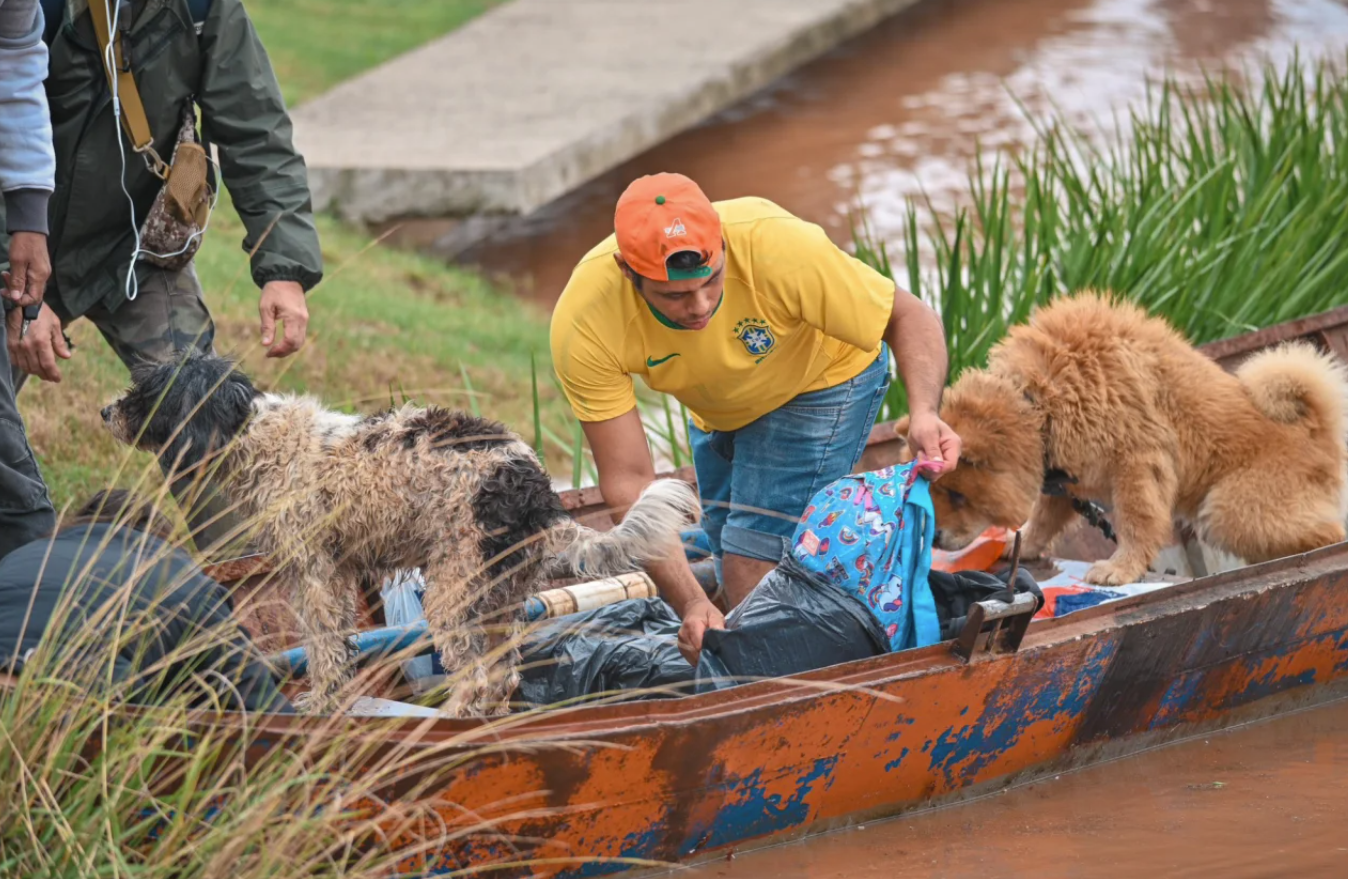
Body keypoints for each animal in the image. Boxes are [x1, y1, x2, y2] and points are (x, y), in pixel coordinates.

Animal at [99, 353, 700, 717]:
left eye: (146, 392)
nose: (104, 410)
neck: (256, 435)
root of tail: (537, 492)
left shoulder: (314, 573)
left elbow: (322, 647)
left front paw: (320, 704)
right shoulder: (340, 572)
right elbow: (339, 644)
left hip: (454, 591)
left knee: (477, 676)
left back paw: (451, 722)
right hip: (500, 597)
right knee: (502, 676)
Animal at [895, 291, 1348, 587]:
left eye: (957, 495)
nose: (935, 539)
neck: (1041, 401)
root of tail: (1319, 436)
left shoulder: (1137, 463)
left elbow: (1136, 523)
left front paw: (1119, 569)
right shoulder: (1064, 476)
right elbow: (1043, 518)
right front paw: (1019, 545)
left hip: (1229, 510)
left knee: (1326, 533)